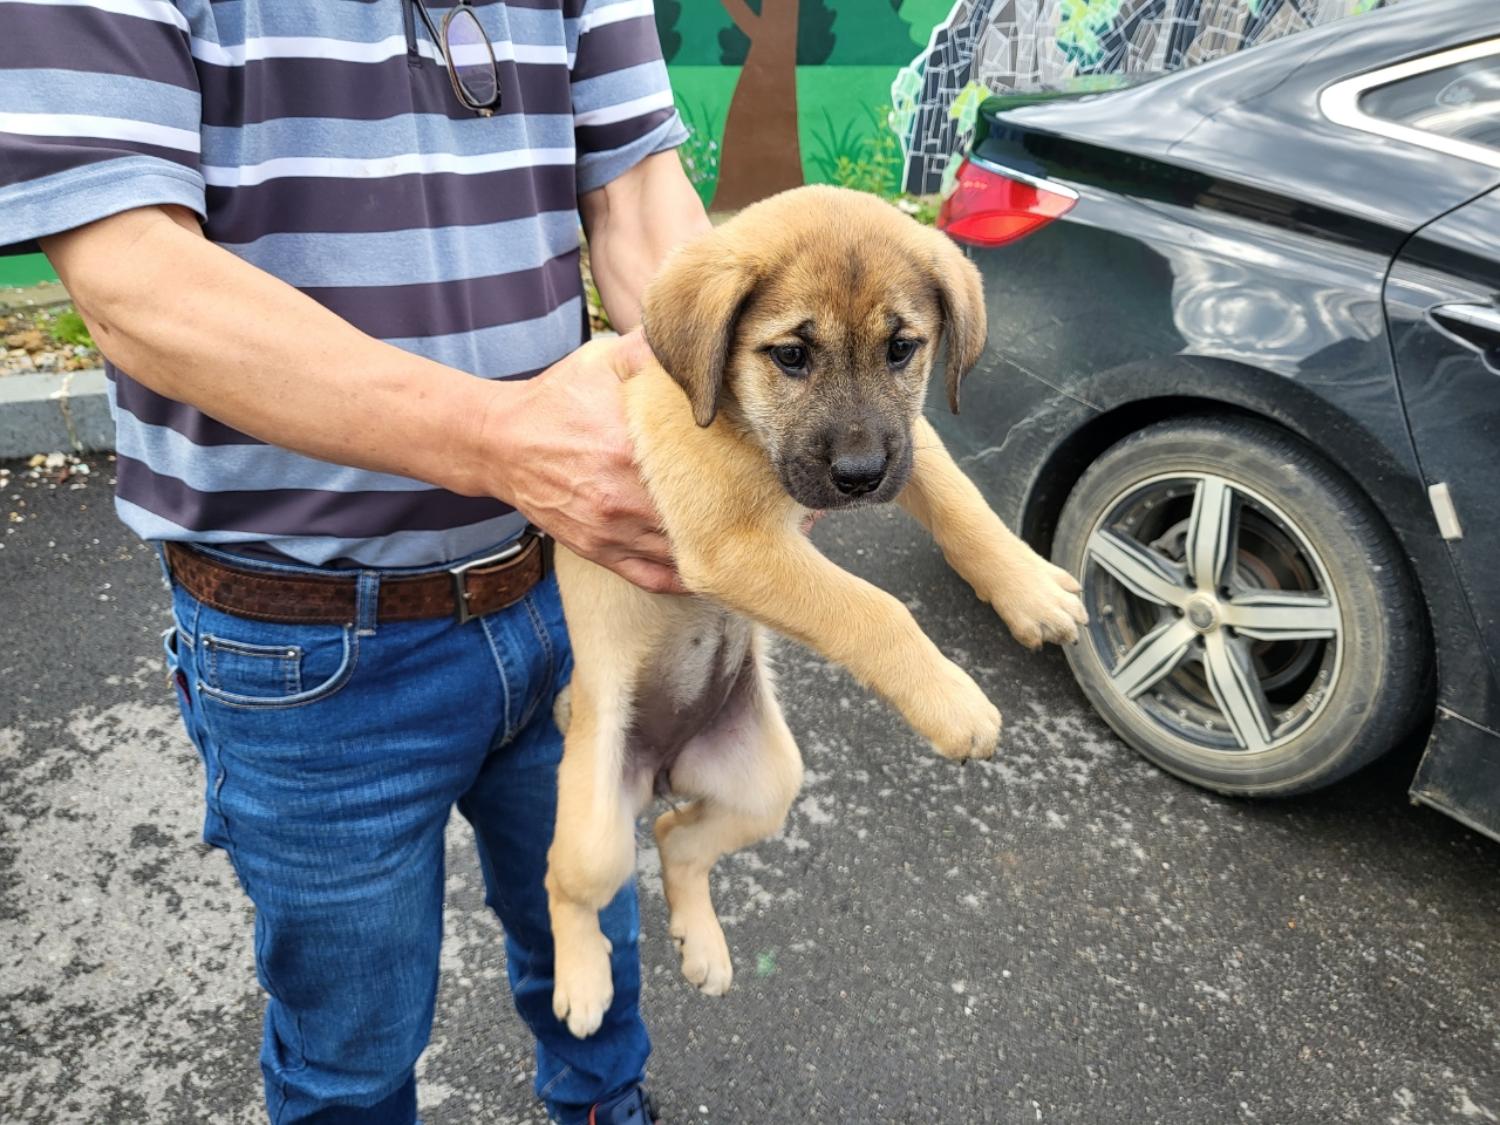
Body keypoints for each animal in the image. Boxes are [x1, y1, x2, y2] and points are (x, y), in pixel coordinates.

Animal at [546, 185, 1086, 1038]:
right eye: (792, 356)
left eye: (902, 348)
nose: (861, 476)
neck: (736, 417)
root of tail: (661, 766)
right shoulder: (732, 544)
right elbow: (873, 606)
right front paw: (954, 702)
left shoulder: (908, 441)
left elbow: (961, 502)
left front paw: (1029, 587)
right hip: (599, 826)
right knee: (567, 881)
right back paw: (584, 980)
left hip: (766, 781)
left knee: (675, 836)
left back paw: (701, 944)